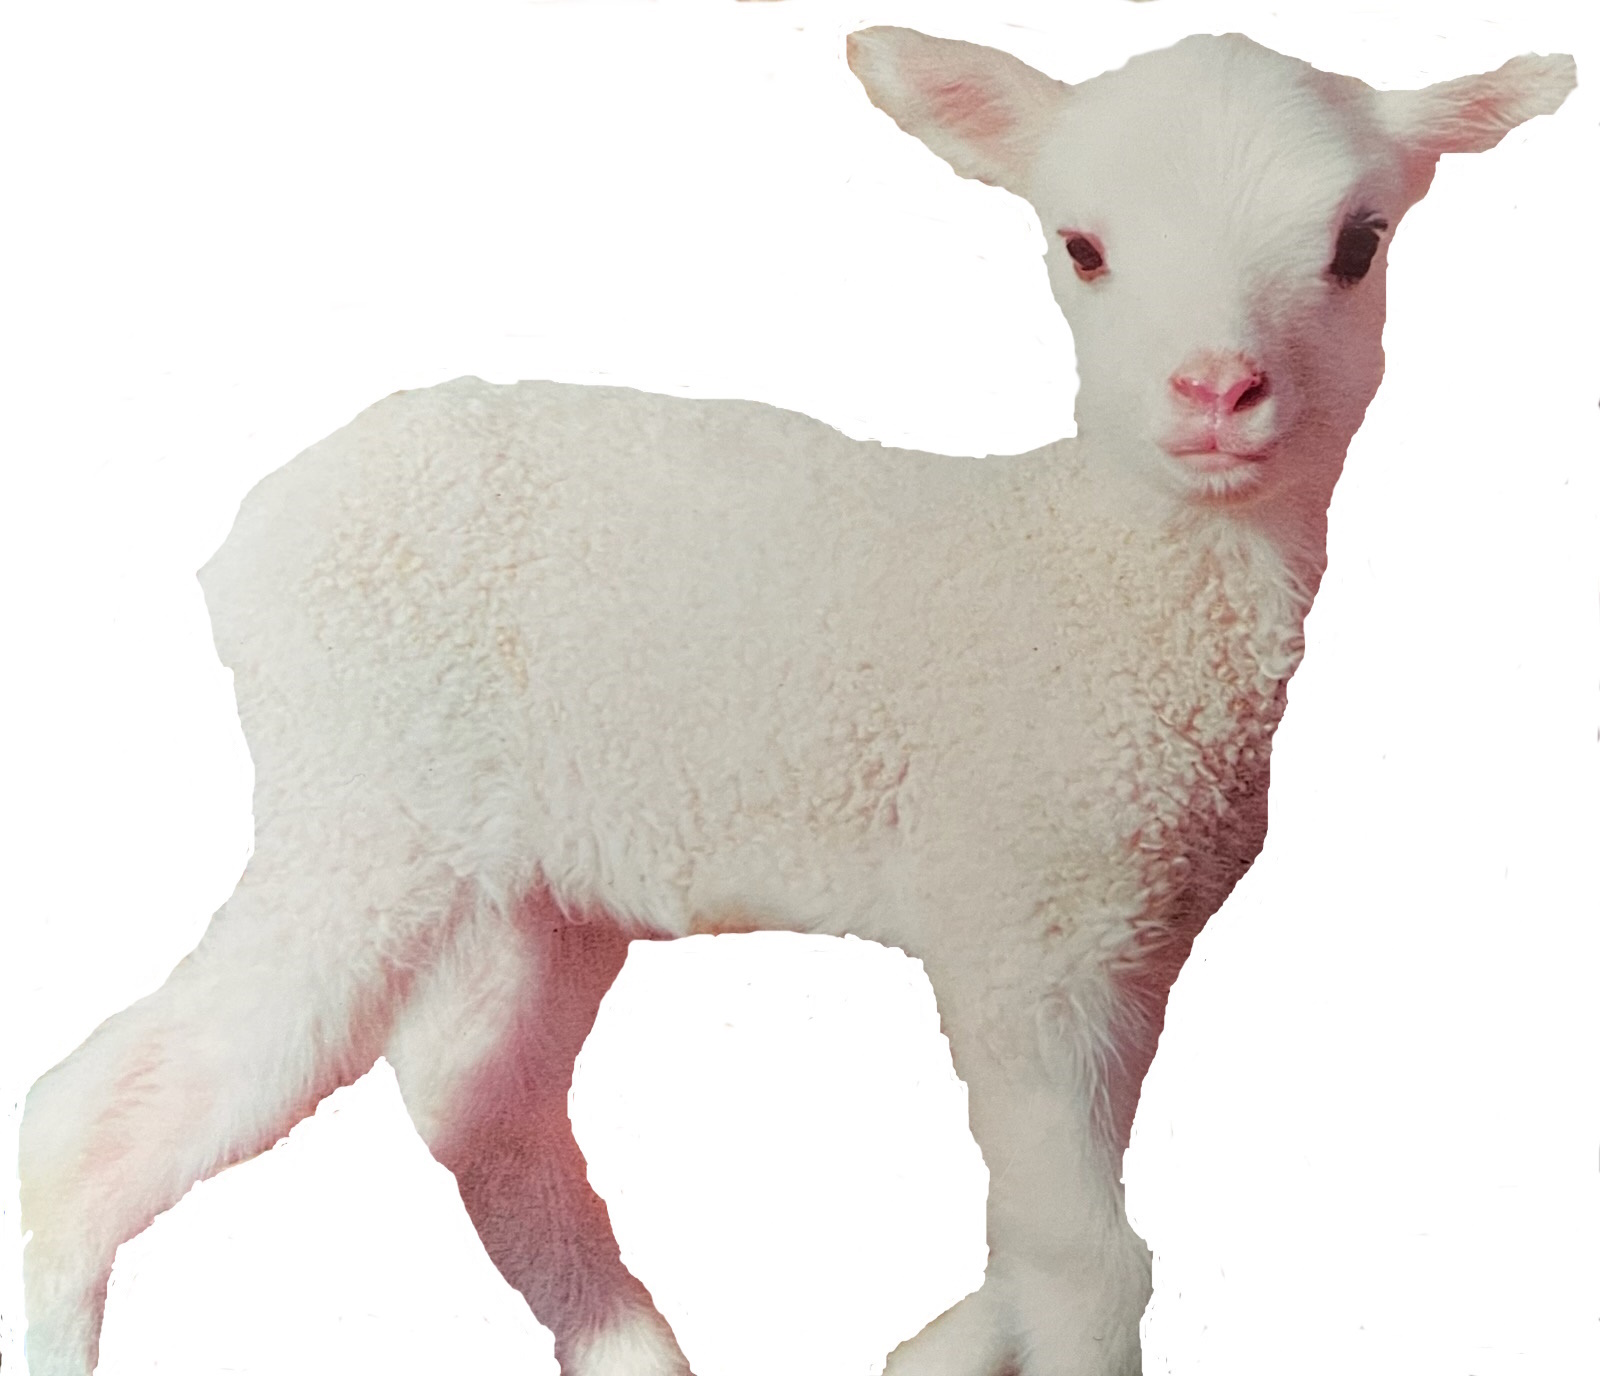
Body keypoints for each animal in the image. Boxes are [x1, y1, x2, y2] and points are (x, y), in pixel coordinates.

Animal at [15, 21, 1577, 1376]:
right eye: (1080, 247)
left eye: (1359, 245)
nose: (1215, 390)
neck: (1094, 567)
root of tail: (247, 538)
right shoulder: (1020, 918)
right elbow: (1089, 1264)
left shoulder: (1119, 936)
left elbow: (1048, 1232)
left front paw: (930, 1354)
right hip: (366, 802)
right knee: (84, 1127)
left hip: (529, 866)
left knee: (476, 1096)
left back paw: (635, 1349)